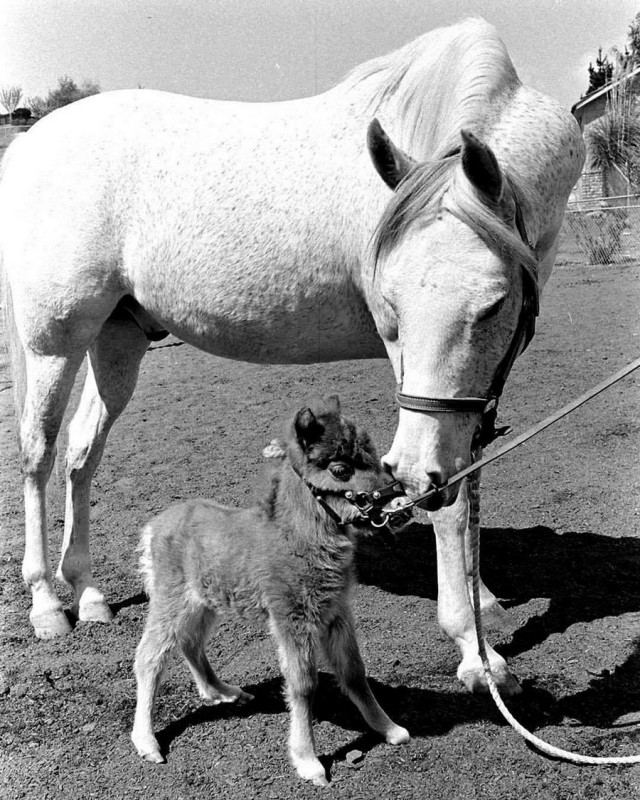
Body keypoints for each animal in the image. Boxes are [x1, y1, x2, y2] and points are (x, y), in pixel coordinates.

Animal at [0, 18, 584, 692]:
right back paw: (47, 604)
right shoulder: (412, 371)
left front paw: (481, 595)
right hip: (54, 342)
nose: (408, 476)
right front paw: (475, 650)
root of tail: (31, 144)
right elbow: (450, 502)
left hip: (116, 339)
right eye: (392, 304)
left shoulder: (473, 385)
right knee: (38, 455)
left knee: (81, 455)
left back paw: (89, 592)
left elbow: (465, 477)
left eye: (494, 305)